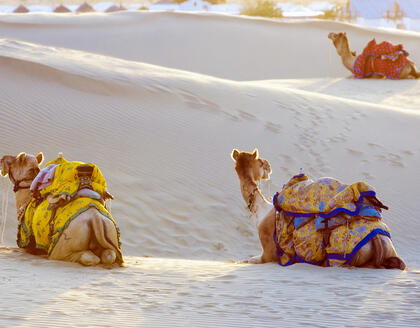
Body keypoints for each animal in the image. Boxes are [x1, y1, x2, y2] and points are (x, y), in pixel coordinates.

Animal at [231, 149, 406, 270]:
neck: (261, 211)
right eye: (260, 162)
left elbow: (248, 260)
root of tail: (379, 239)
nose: (268, 165)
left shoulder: (269, 255)